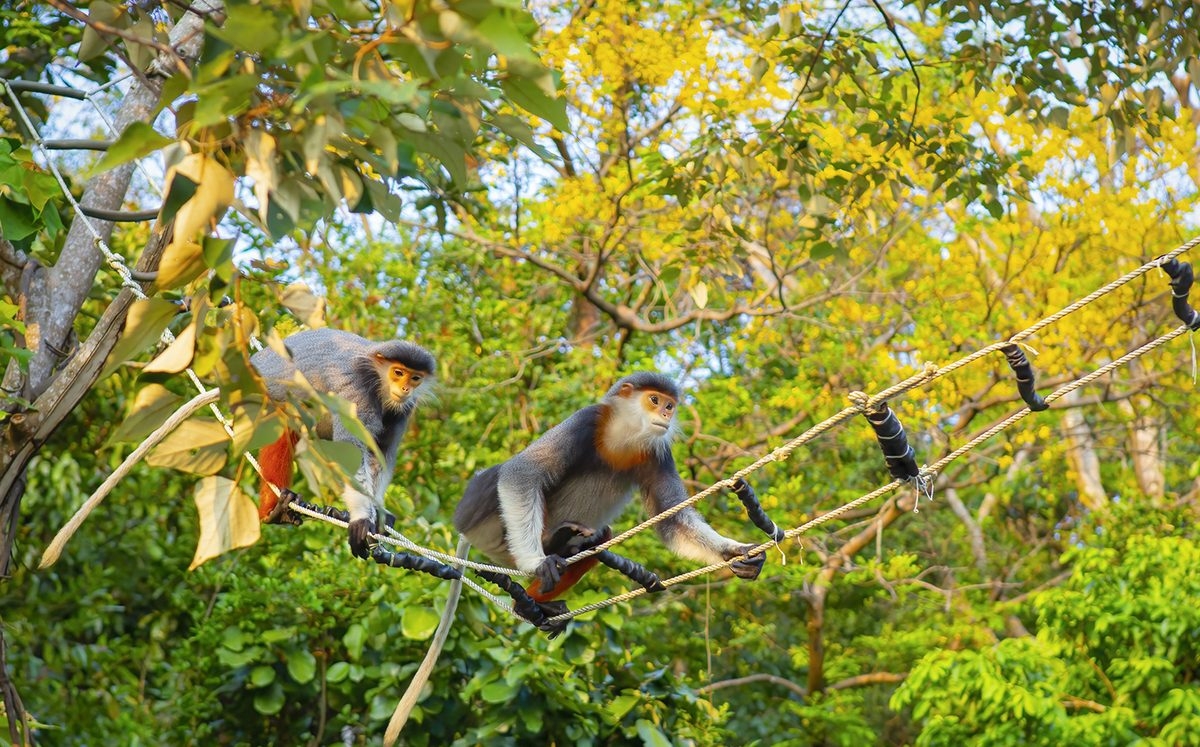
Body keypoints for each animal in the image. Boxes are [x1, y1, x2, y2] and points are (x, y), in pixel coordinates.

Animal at [250, 328, 435, 559]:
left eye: (415, 378)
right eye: (398, 373)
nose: (405, 389)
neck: (377, 378)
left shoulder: (403, 409)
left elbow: (380, 455)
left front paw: (377, 514)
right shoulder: (356, 391)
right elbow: (351, 449)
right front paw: (361, 518)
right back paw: (275, 509)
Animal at [453, 372, 765, 603]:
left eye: (669, 406)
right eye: (654, 400)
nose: (666, 415)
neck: (622, 437)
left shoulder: (658, 453)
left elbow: (673, 520)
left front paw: (735, 552)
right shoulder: (587, 419)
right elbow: (521, 473)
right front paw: (535, 561)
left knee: (600, 535)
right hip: (487, 529)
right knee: (497, 475)